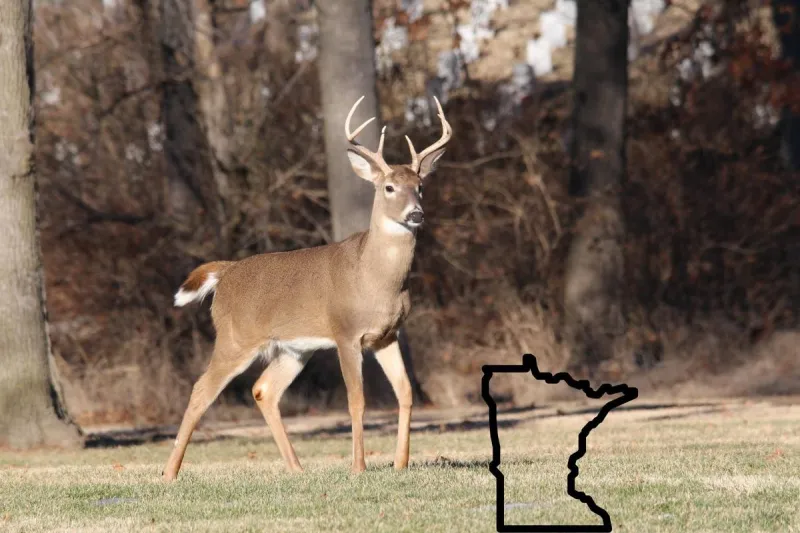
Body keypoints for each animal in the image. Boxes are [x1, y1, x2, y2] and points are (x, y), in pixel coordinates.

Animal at [162, 96, 452, 481]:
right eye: (388, 187)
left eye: (420, 186)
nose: (416, 214)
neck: (377, 281)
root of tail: (226, 273)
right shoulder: (346, 333)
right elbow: (356, 400)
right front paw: (358, 467)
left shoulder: (387, 335)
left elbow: (404, 392)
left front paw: (400, 463)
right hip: (235, 337)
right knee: (201, 390)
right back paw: (169, 473)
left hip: (293, 349)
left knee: (263, 389)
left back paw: (296, 468)